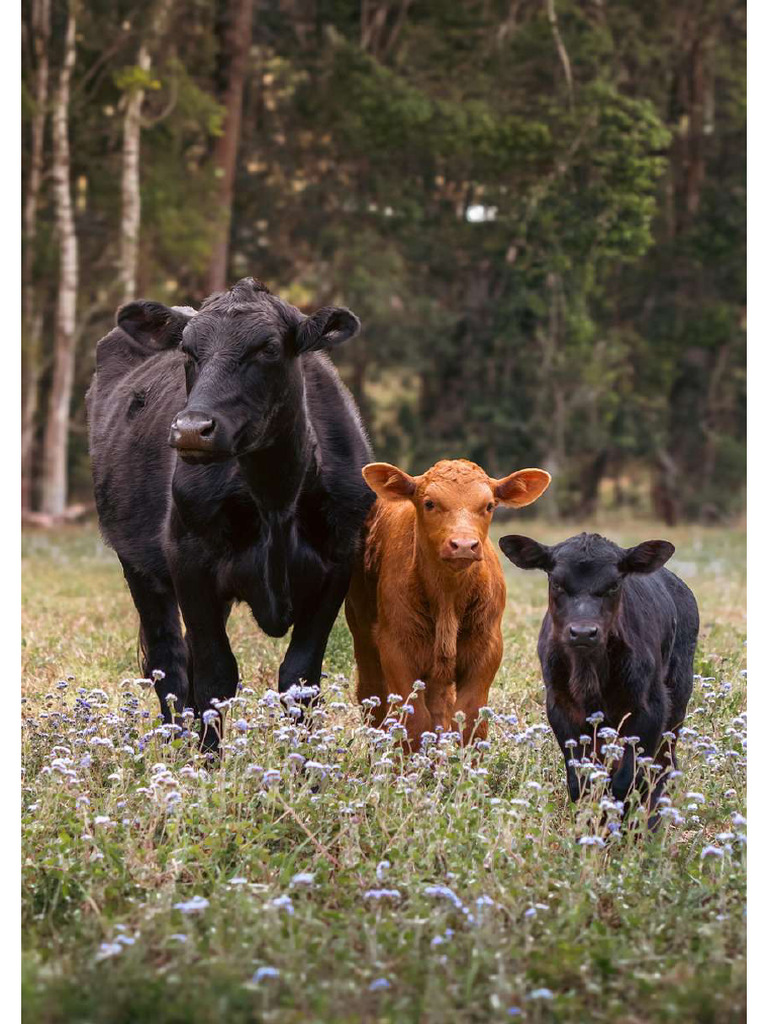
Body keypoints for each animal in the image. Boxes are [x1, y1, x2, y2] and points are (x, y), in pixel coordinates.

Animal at [87, 277, 374, 750]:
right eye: (188, 351)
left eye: (269, 348)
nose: (191, 429)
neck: (275, 496)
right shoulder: (190, 561)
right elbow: (215, 675)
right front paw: (208, 759)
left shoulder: (339, 562)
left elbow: (300, 677)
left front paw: (304, 766)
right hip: (139, 566)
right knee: (169, 660)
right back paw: (175, 740)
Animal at [345, 459, 551, 748]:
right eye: (430, 503)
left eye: (489, 505)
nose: (463, 545)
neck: (447, 599)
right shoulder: (396, 647)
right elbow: (414, 723)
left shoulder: (487, 649)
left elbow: (470, 720)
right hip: (362, 629)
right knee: (373, 694)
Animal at [498, 532, 699, 821]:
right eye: (556, 582)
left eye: (614, 585)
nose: (583, 632)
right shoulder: (560, 707)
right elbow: (581, 781)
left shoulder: (651, 708)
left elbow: (630, 779)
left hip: (678, 698)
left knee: (664, 765)